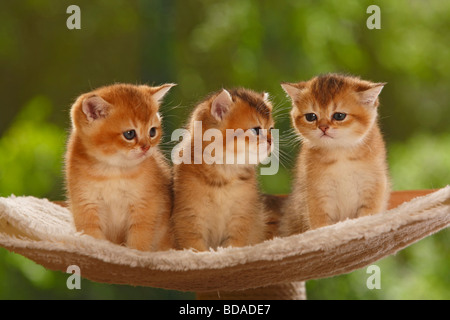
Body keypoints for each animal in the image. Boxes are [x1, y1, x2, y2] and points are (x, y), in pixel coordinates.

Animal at [66, 83, 175, 252]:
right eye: (129, 134)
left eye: (152, 131)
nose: (146, 147)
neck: (113, 171)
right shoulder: (86, 205)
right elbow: (92, 238)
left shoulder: (145, 205)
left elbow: (139, 240)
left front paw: (135, 254)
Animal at [172, 89, 274, 251]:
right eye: (256, 130)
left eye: (271, 129)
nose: (272, 141)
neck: (224, 176)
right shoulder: (190, 217)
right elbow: (196, 249)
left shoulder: (241, 218)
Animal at [282, 74, 390, 235]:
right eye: (311, 117)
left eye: (339, 116)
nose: (323, 127)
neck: (340, 154)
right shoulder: (317, 193)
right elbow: (320, 226)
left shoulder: (373, 186)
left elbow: (367, 216)